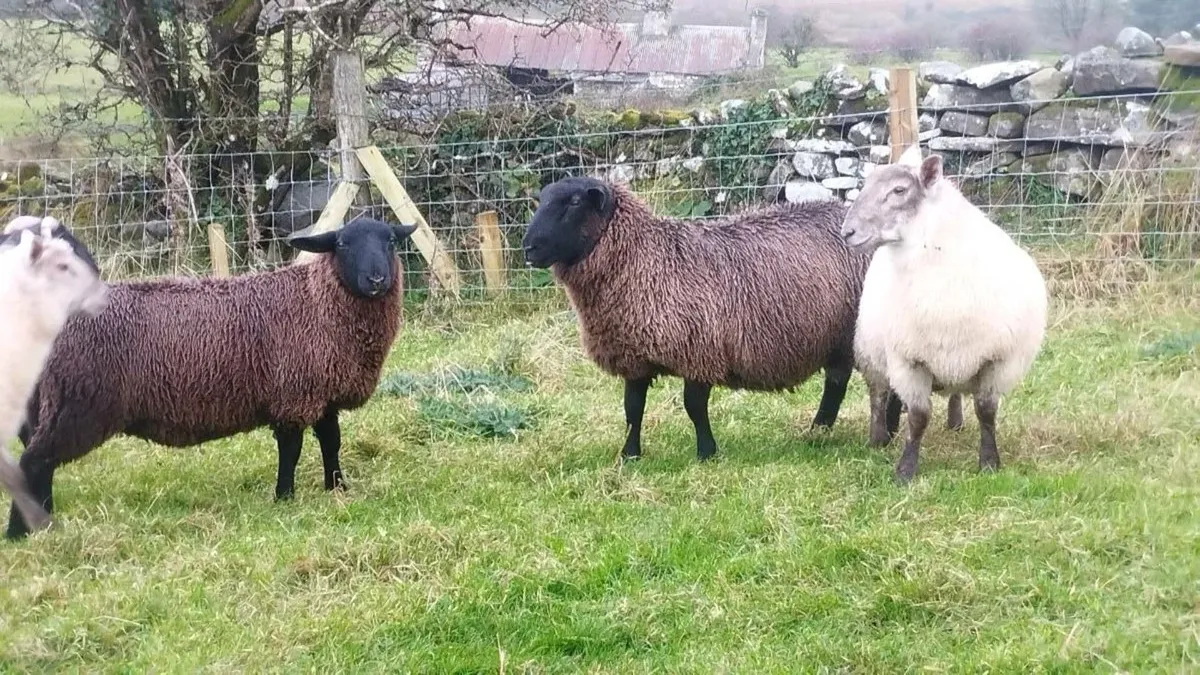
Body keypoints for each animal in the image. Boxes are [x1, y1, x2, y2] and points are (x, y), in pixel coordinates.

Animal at [521, 176, 873, 462]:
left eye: (574, 202)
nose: (528, 248)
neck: (645, 261)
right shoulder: (635, 356)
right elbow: (632, 409)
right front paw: (630, 455)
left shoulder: (700, 350)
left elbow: (693, 407)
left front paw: (706, 452)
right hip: (838, 338)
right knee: (837, 382)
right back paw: (819, 431)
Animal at [840, 144, 1048, 482]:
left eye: (899, 190)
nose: (847, 232)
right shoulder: (909, 362)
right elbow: (918, 418)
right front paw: (906, 470)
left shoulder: (997, 361)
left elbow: (986, 412)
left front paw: (989, 463)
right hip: (871, 351)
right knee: (878, 393)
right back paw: (877, 438)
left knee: (956, 393)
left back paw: (955, 422)